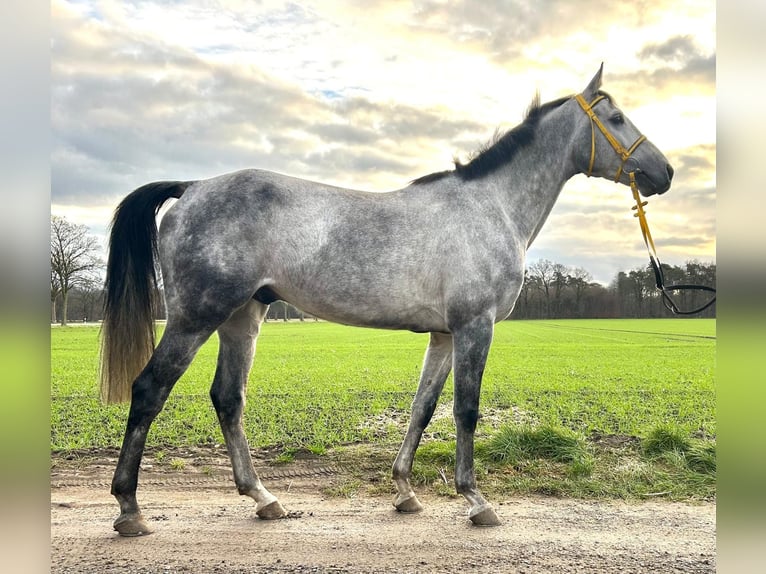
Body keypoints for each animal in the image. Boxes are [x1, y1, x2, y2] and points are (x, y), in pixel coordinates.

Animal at [100, 65, 673, 535]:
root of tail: (192, 187)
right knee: (149, 390)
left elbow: (423, 408)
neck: (491, 207)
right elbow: (466, 409)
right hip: (196, 317)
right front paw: (476, 501)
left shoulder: (443, 335)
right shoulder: (475, 326)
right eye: (616, 118)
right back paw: (130, 509)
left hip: (243, 316)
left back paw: (263, 499)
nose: (664, 173)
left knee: (228, 398)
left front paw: (405, 492)